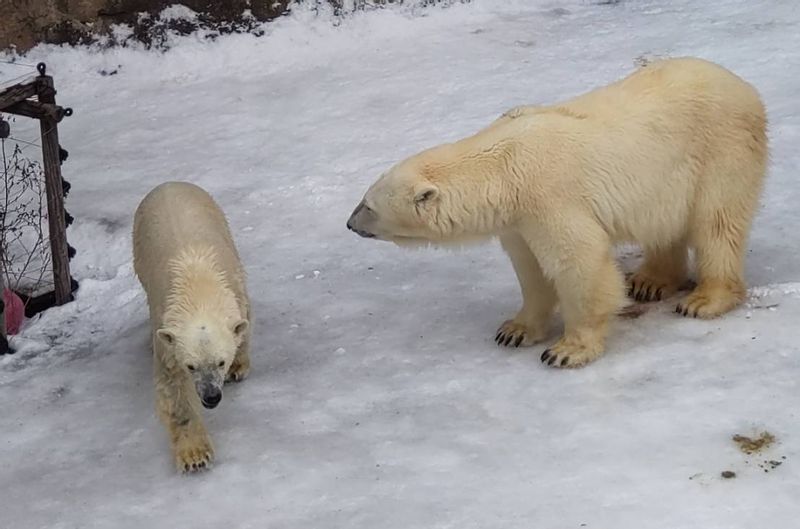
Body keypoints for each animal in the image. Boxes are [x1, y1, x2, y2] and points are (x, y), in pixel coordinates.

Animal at [133, 182, 250, 470]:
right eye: (191, 366)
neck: (198, 284)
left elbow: (242, 326)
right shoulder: (166, 330)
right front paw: (195, 456)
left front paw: (239, 366)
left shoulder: (235, 288)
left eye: (221, 362)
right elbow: (173, 390)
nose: (211, 398)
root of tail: (168, 183)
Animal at [346, 56, 768, 368]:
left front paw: (567, 350)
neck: (503, 167)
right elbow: (530, 269)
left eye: (368, 204)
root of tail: (744, 86)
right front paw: (514, 330)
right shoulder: (517, 220)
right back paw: (649, 281)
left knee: (717, 223)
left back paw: (704, 299)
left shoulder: (549, 196)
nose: (349, 224)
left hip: (721, 149)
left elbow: (578, 262)